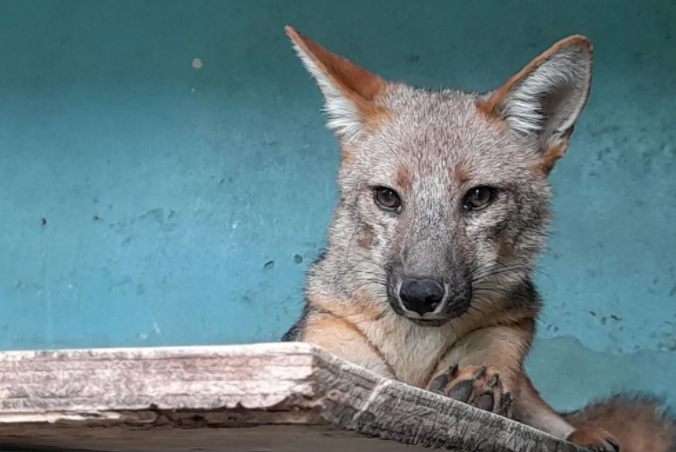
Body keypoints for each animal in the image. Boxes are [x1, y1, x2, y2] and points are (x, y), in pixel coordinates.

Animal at [280, 25, 676, 452]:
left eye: (479, 196)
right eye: (387, 197)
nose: (420, 294)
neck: (416, 357)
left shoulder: (506, 330)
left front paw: (475, 385)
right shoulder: (334, 349)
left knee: (560, 421)